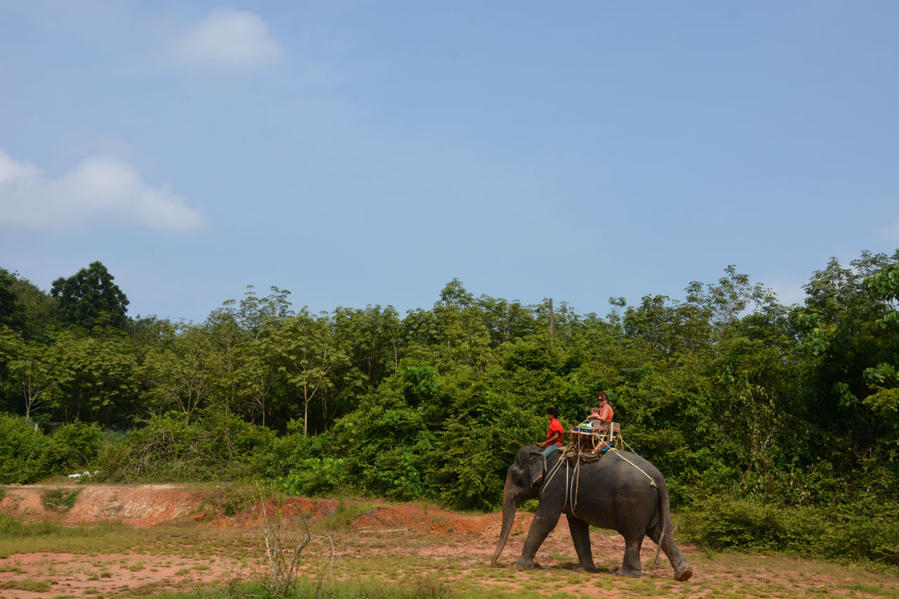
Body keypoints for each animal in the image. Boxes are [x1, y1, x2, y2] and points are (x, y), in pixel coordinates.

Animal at [492, 446, 696, 580]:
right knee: (660, 532)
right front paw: (583, 570)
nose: (494, 564)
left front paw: (519, 567)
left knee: (633, 536)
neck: (544, 453)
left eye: (514, 476)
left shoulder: (555, 486)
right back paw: (684, 573)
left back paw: (625, 574)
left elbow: (546, 520)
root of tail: (659, 478)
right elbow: (577, 525)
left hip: (635, 502)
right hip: (653, 503)